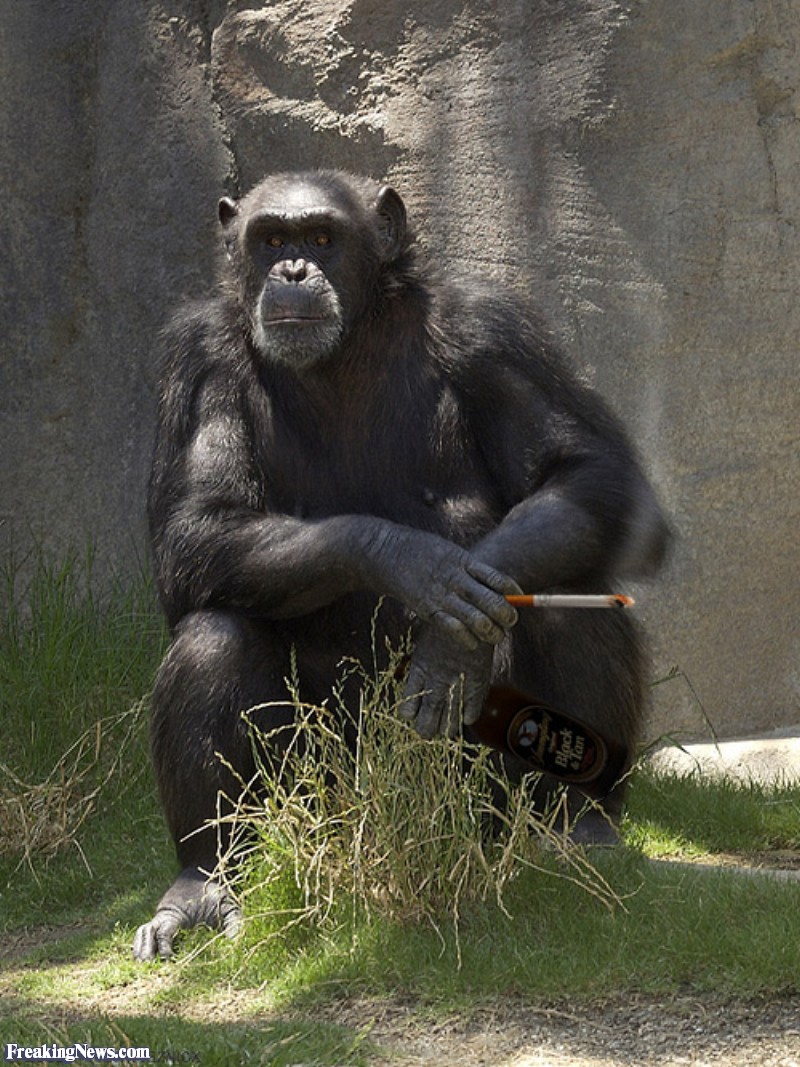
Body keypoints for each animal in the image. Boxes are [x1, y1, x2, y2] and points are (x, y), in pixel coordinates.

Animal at [133, 170, 669, 964]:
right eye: (271, 238)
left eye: (323, 237)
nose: (293, 270)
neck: (349, 342)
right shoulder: (196, 356)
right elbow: (197, 525)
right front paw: (413, 564)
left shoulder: (491, 329)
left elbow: (589, 472)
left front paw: (450, 649)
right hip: (324, 796)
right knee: (214, 634)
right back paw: (204, 880)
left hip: (478, 801)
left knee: (571, 589)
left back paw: (581, 824)